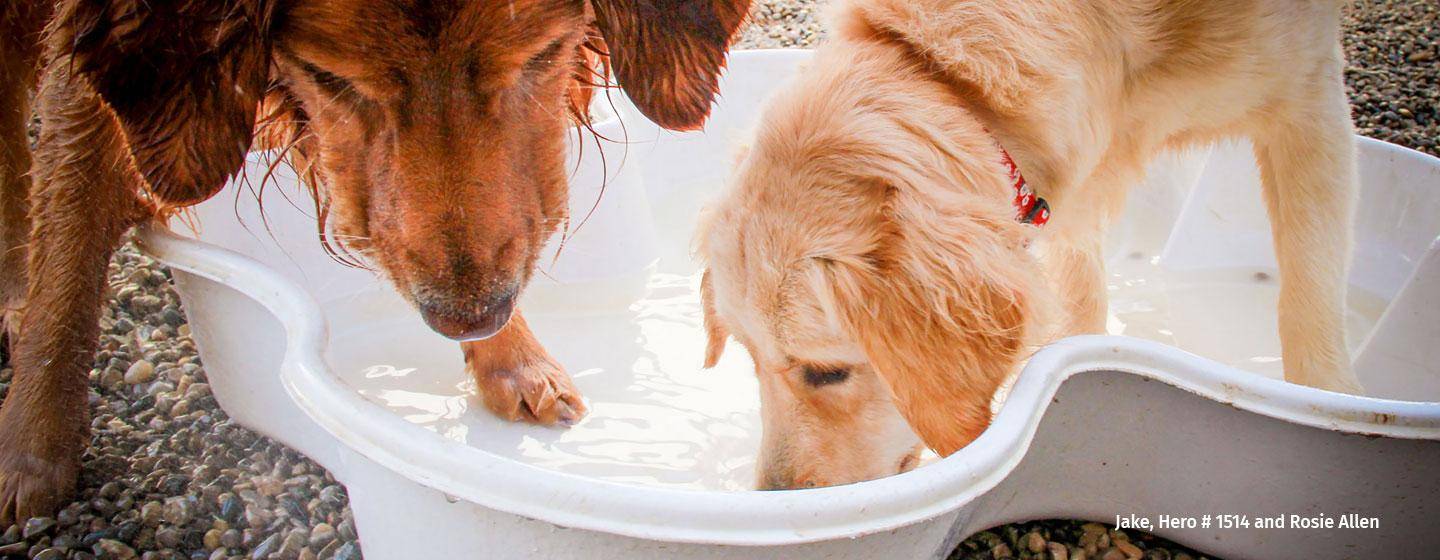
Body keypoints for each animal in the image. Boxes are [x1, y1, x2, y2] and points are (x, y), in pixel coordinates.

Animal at [2, 0, 754, 524]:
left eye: (541, 55)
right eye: (329, 76)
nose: (468, 318)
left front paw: (512, 360)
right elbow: (69, 234)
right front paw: (32, 452)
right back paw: (14, 295)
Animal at [696, 0, 1359, 489]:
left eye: (827, 372)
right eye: (750, 360)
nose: (771, 501)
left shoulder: (1311, 92)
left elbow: (1310, 300)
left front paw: (1324, 407)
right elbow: (1082, 304)